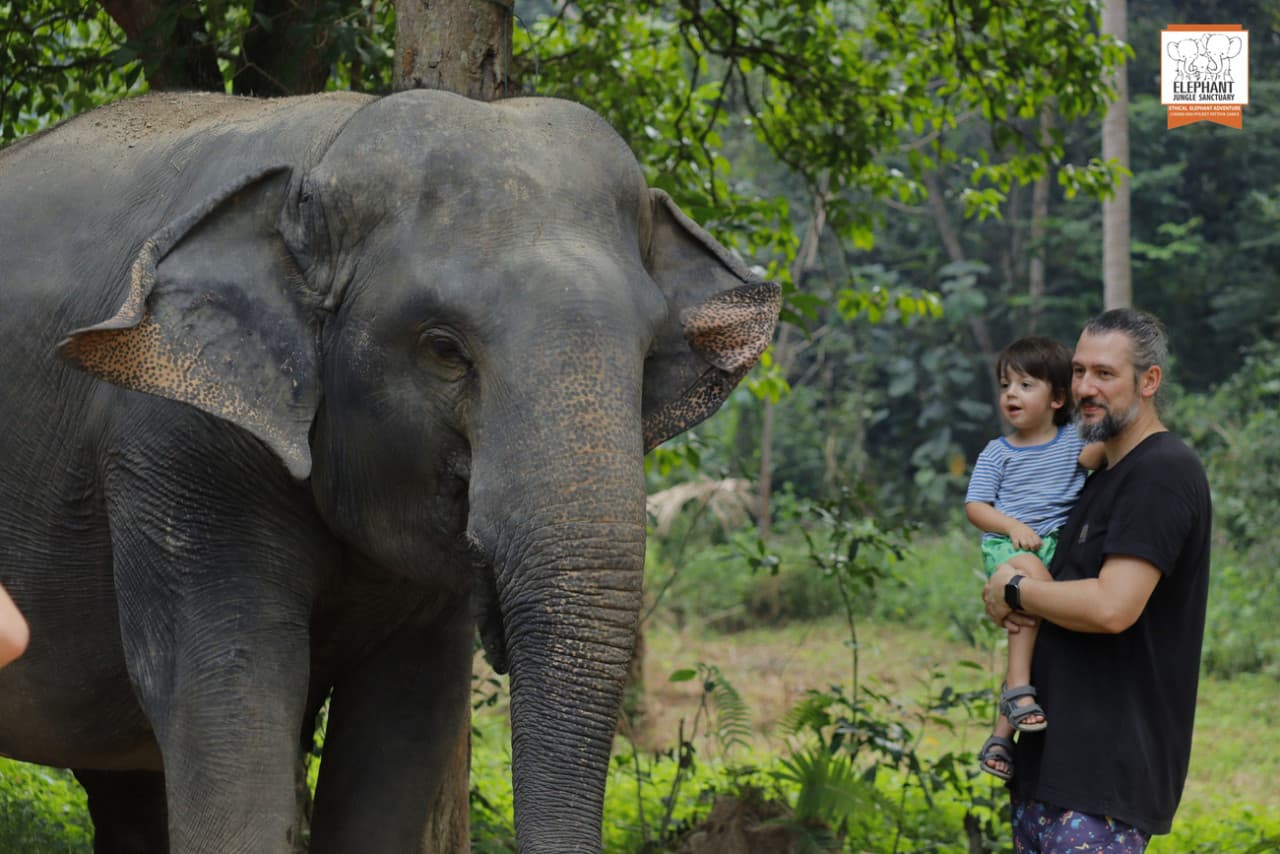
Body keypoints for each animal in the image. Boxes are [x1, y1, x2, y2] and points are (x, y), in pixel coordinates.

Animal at [0, 89, 779, 853]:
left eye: (649, 353)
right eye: (443, 348)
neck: (323, 149)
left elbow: (403, 726)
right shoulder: (177, 444)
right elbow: (227, 698)